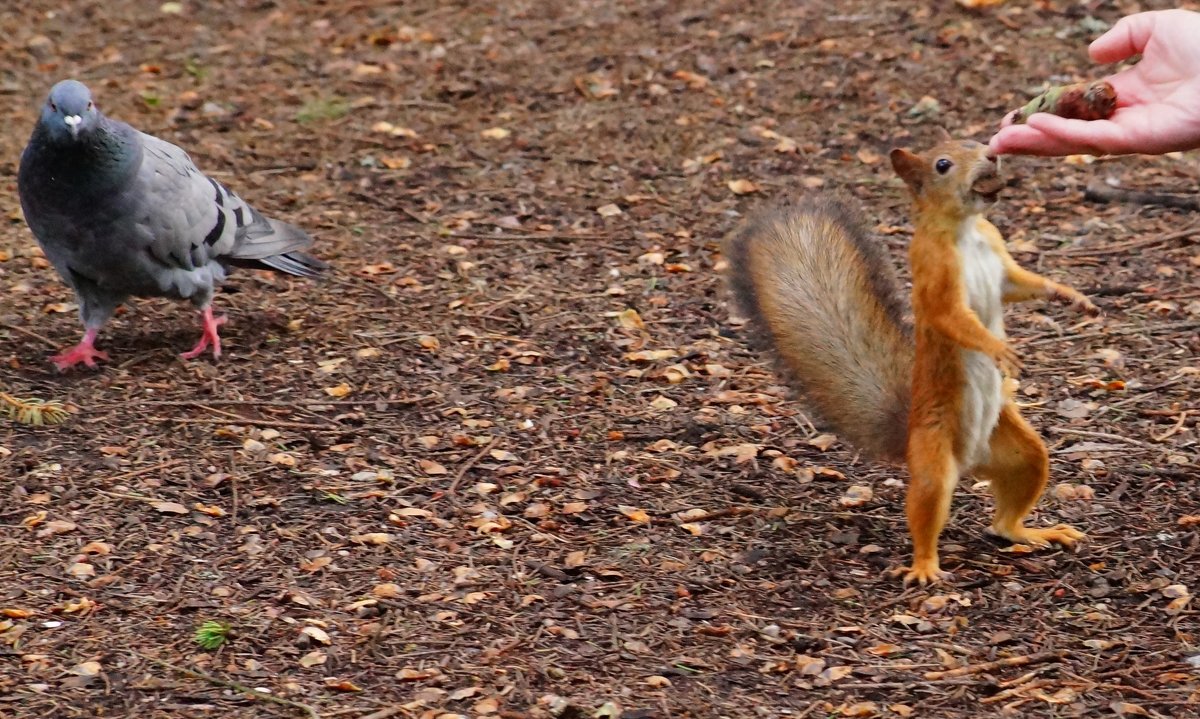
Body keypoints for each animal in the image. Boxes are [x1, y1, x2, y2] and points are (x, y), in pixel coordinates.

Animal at [724, 132, 1099, 585]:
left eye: (978, 142)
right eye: (942, 165)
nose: (992, 156)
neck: (966, 229)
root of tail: (970, 461)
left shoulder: (1000, 259)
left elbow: (1019, 282)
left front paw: (1070, 295)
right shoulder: (934, 273)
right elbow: (952, 316)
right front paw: (998, 349)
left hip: (1021, 454)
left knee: (1005, 519)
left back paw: (1033, 532)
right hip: (933, 457)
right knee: (928, 504)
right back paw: (924, 566)